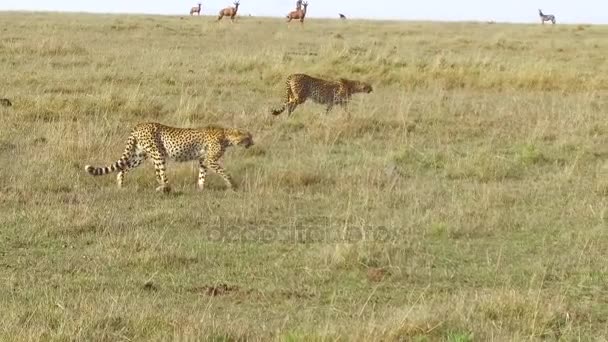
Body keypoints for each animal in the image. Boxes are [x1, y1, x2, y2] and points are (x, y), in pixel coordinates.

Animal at [84, 122, 253, 192]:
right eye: (248, 137)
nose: (253, 143)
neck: (226, 136)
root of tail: (140, 124)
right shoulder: (210, 160)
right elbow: (225, 172)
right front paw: (232, 185)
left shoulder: (203, 160)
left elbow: (202, 175)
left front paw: (200, 188)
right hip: (157, 154)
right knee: (161, 175)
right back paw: (164, 188)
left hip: (141, 155)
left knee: (123, 168)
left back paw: (121, 184)